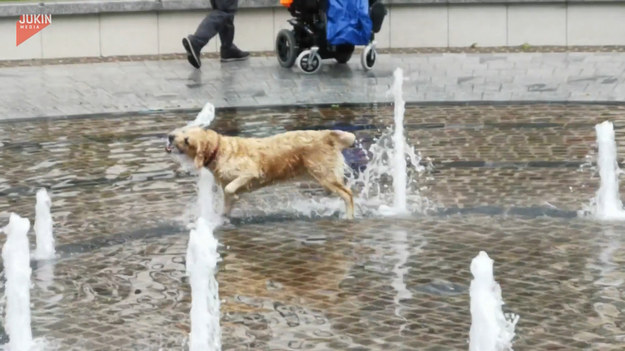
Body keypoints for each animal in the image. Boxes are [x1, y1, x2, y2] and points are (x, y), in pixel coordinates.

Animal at [166, 126, 356, 220]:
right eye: (183, 130)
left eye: (187, 140)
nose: (169, 136)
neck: (218, 150)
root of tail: (327, 134)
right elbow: (226, 203)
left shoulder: (251, 172)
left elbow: (229, 189)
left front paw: (234, 196)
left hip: (325, 176)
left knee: (348, 194)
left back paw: (349, 217)